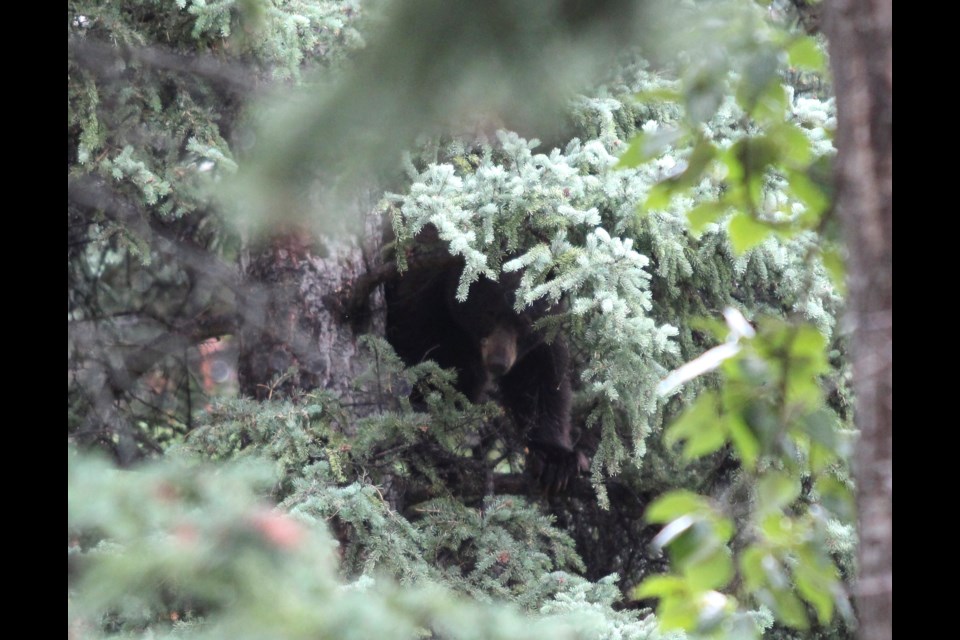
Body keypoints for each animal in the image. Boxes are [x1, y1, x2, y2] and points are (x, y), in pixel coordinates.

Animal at [382, 232, 584, 492]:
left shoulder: (542, 337)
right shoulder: (420, 306)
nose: (499, 362)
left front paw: (556, 460)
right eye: (489, 312)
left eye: (525, 322)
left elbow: (542, 381)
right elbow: (422, 375)